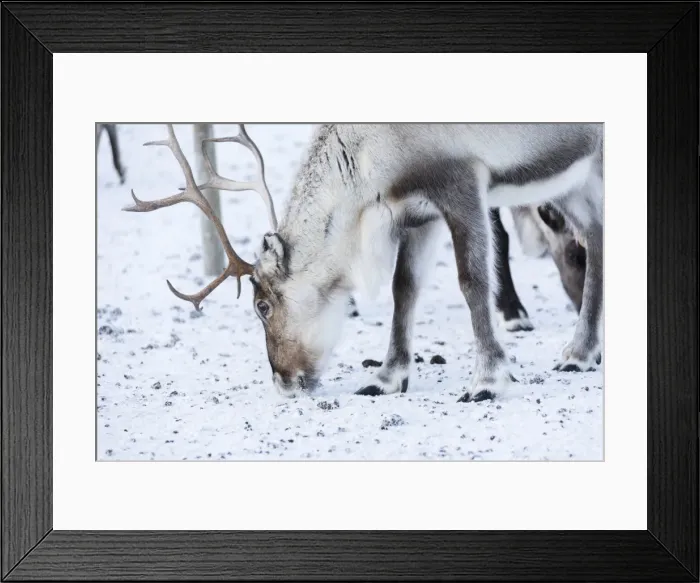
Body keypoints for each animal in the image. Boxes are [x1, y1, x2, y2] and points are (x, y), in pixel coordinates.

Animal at [124, 123, 603, 403]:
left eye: (262, 306)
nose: (282, 381)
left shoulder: (462, 181)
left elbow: (472, 280)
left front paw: (487, 379)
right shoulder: (418, 212)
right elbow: (403, 289)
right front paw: (388, 377)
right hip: (577, 176)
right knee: (595, 232)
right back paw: (581, 353)